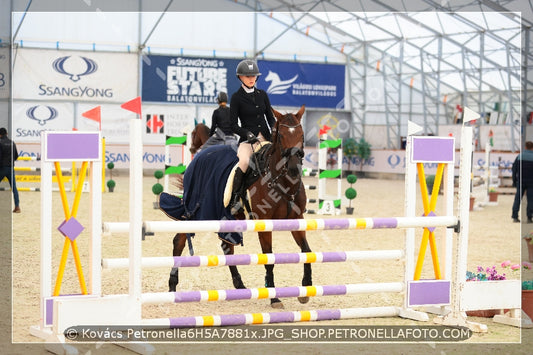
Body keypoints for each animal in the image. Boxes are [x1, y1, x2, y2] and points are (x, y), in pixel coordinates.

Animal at [168, 105, 310, 308]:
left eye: (301, 134)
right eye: (281, 135)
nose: (293, 168)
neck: (283, 182)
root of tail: (199, 157)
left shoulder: (297, 220)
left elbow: (307, 251)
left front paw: (306, 288)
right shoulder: (264, 223)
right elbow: (269, 258)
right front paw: (274, 297)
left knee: (227, 247)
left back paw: (240, 285)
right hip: (198, 214)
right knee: (179, 240)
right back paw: (172, 286)